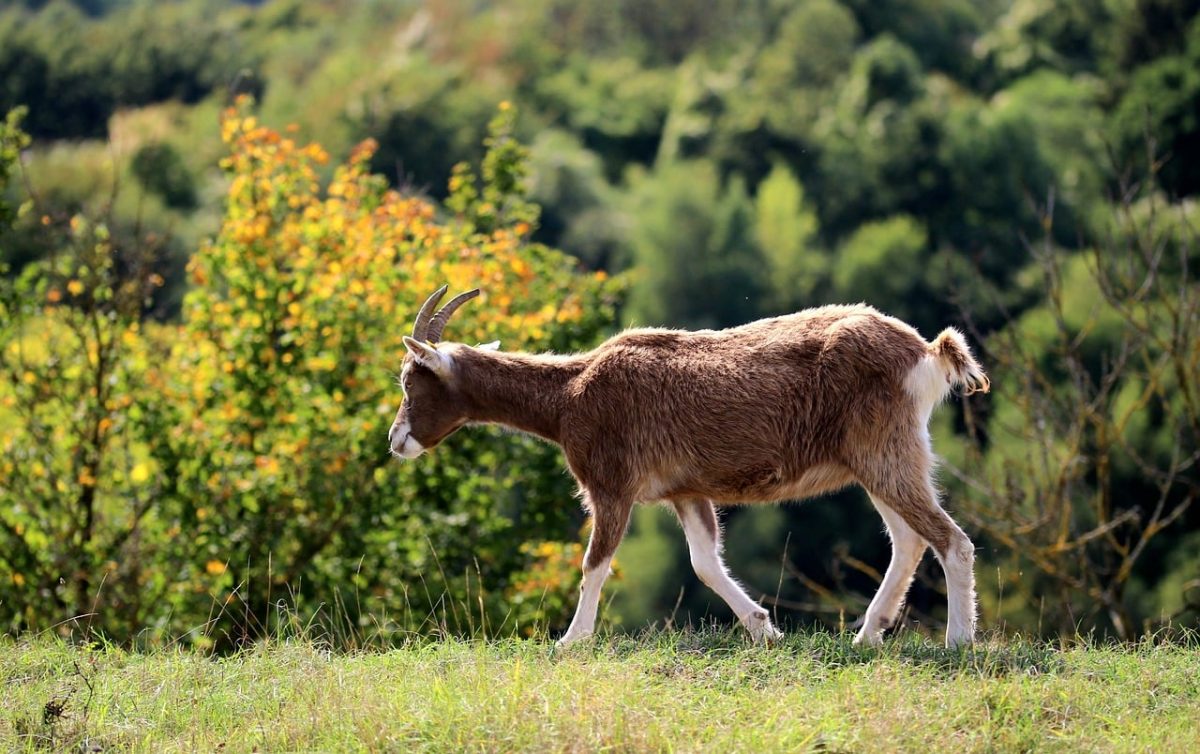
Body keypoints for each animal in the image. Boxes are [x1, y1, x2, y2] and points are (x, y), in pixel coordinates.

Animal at [389, 286, 990, 647]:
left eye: (411, 381)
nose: (396, 441)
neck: (569, 393)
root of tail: (926, 352)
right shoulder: (686, 492)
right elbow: (704, 563)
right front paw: (764, 630)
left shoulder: (611, 485)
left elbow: (594, 563)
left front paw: (570, 642)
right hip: (881, 458)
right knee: (909, 539)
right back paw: (867, 635)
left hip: (885, 451)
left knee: (950, 539)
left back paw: (959, 640)